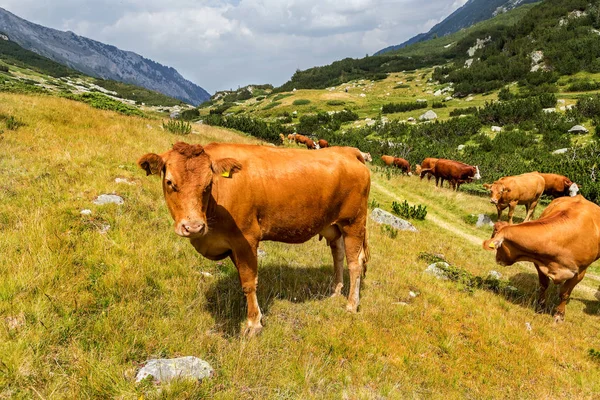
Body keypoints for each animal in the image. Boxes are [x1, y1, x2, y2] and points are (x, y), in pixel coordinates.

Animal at [138, 142, 370, 336]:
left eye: (208, 184)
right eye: (170, 182)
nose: (194, 226)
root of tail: (348, 151)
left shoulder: (246, 239)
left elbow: (249, 282)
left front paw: (253, 323)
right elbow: (243, 279)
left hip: (354, 223)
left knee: (355, 263)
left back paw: (351, 305)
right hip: (334, 226)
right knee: (338, 256)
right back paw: (336, 292)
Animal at [486, 195, 600, 324]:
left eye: (498, 245)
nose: (498, 259)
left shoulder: (580, 272)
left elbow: (565, 293)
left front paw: (559, 315)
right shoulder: (540, 264)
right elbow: (543, 285)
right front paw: (541, 306)